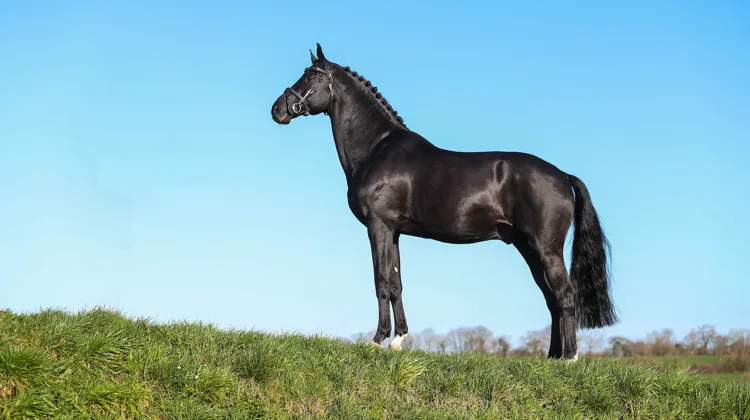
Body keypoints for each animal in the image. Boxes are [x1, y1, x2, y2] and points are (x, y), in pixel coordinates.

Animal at [270, 43, 618, 360]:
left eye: (311, 75)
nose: (278, 110)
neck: (377, 149)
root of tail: (563, 176)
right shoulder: (394, 231)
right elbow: (396, 283)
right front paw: (398, 340)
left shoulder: (378, 226)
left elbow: (381, 280)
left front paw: (377, 341)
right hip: (528, 248)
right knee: (551, 298)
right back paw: (552, 357)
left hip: (546, 249)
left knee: (565, 295)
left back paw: (569, 358)